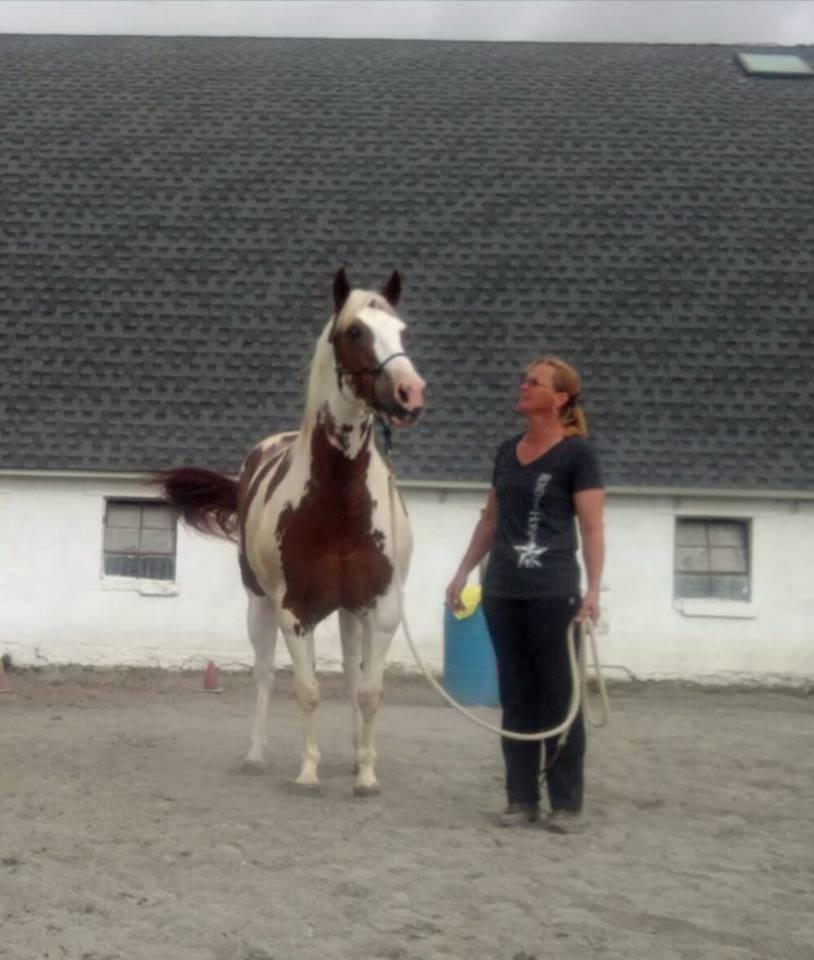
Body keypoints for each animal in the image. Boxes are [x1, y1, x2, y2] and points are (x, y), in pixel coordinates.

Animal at [160, 268, 425, 796]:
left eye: (402, 331)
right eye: (355, 332)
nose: (411, 392)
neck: (338, 506)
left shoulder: (382, 610)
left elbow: (368, 691)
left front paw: (366, 773)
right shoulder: (295, 612)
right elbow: (306, 690)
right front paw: (308, 772)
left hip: (351, 614)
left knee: (351, 677)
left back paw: (355, 755)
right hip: (260, 605)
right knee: (264, 675)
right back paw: (256, 755)